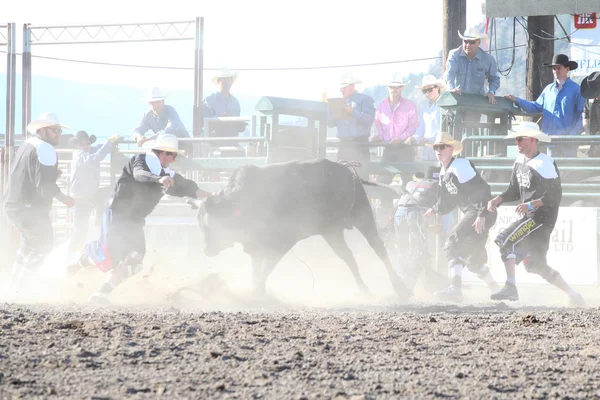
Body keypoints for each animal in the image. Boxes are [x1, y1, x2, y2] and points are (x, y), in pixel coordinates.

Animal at [192, 159, 408, 296]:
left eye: (212, 224)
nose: (206, 250)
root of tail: (347, 170)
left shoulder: (282, 242)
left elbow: (267, 267)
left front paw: (259, 290)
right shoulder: (255, 244)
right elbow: (256, 267)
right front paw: (256, 289)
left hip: (362, 216)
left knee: (378, 248)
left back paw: (399, 286)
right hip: (331, 231)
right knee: (348, 257)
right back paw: (364, 288)